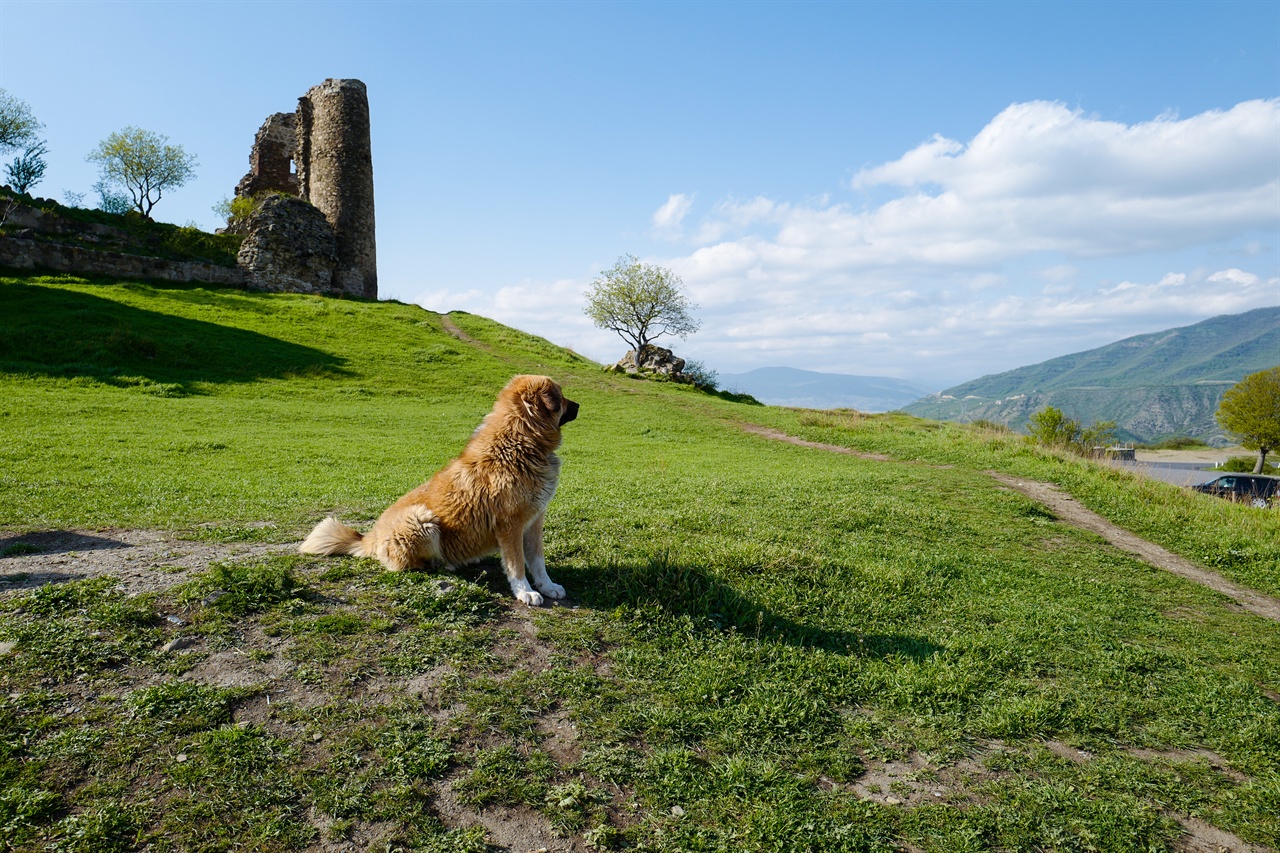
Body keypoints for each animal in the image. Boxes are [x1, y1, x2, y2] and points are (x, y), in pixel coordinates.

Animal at [296, 373, 578, 604]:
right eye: (561, 395)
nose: (578, 406)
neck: (520, 443)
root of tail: (371, 537)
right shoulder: (510, 524)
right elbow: (517, 563)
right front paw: (525, 591)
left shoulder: (534, 520)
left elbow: (538, 561)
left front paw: (547, 586)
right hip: (421, 520)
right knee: (412, 564)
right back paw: (445, 564)